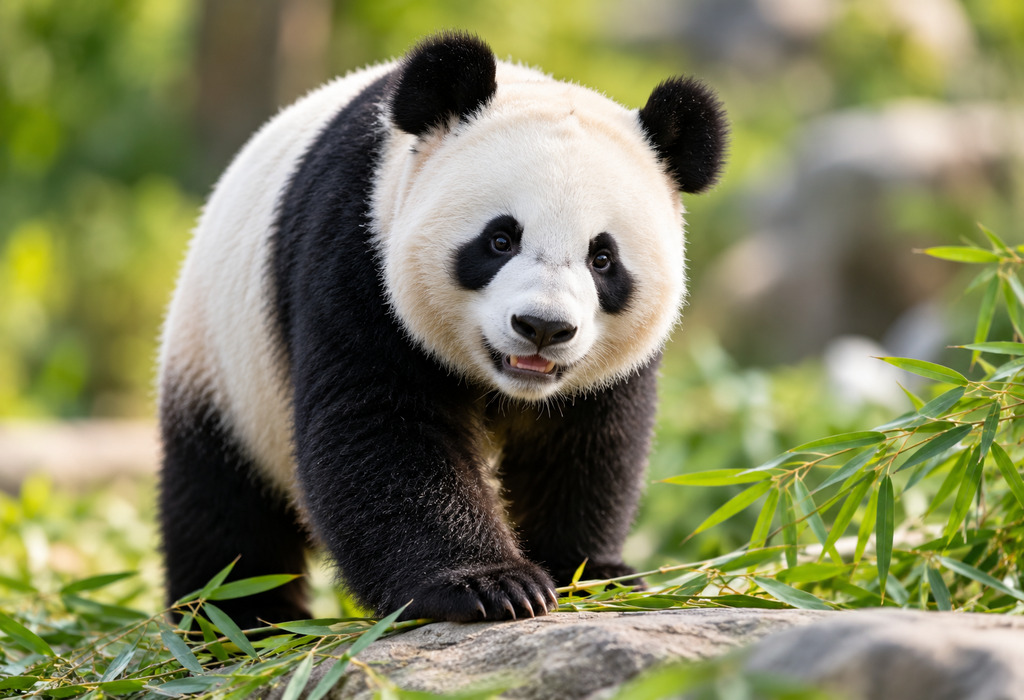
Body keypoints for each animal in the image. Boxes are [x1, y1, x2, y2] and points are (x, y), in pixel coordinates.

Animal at [158, 32, 726, 627]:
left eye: (603, 258)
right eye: (500, 239)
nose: (542, 327)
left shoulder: (608, 370)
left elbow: (586, 446)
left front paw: (590, 572)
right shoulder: (358, 252)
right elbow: (382, 428)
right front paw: (492, 584)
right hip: (224, 369)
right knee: (223, 512)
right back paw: (239, 618)